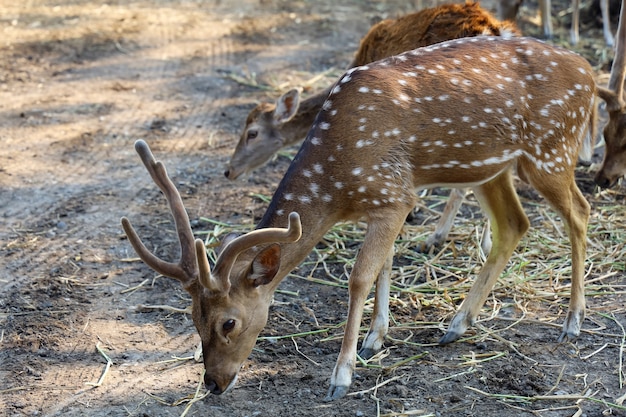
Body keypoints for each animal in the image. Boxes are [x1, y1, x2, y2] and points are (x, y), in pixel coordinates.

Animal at [122, 35, 596, 400]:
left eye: (229, 322)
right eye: (192, 318)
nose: (213, 383)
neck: (337, 183)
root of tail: (590, 74)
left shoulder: (393, 194)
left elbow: (359, 277)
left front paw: (342, 375)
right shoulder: (388, 201)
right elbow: (385, 264)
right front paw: (375, 339)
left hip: (552, 148)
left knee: (579, 210)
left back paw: (572, 321)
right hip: (490, 166)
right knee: (514, 224)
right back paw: (457, 324)